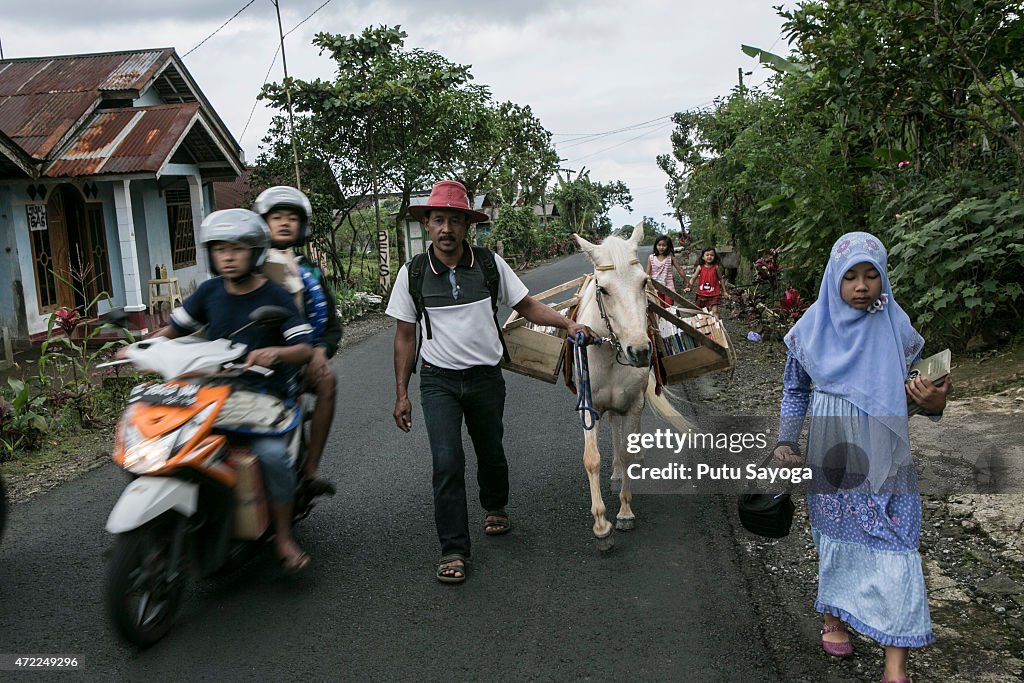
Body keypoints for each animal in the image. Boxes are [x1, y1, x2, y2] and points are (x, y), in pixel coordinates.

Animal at [573, 224, 684, 544]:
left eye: (644, 282)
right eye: (604, 289)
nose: (640, 351)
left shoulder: (634, 404)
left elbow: (627, 452)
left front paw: (624, 512)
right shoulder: (589, 406)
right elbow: (592, 459)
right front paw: (600, 523)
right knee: (613, 425)